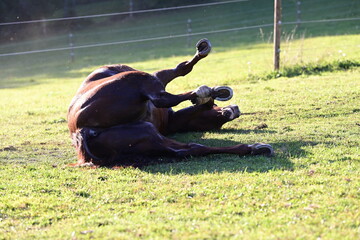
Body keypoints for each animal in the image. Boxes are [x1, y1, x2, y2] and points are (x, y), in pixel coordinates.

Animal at [67, 39, 272, 167]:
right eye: (214, 109)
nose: (234, 110)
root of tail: (81, 130)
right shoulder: (157, 78)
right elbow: (181, 70)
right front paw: (208, 92)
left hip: (147, 134)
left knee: (190, 149)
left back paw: (255, 149)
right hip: (139, 81)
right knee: (162, 98)